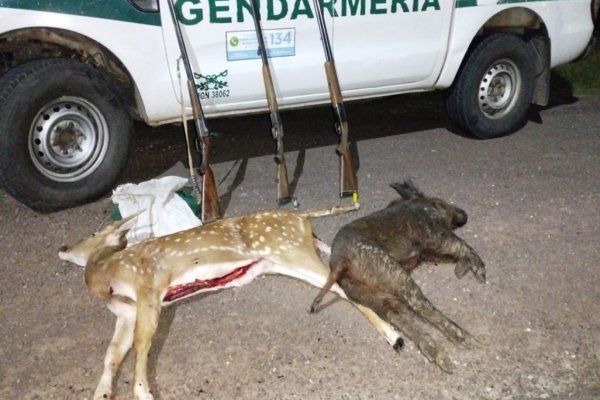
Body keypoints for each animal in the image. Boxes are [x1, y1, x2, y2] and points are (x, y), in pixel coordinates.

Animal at [57, 206, 404, 400]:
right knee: (340, 285)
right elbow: (112, 354)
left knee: (344, 288)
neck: (106, 273)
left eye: (92, 233)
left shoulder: (149, 287)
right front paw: (101, 393)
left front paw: (143, 391)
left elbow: (143, 343)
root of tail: (302, 218)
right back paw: (393, 334)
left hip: (289, 249)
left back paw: (396, 337)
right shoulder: (125, 312)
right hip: (282, 259)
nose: (62, 246)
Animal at [312, 181, 486, 372]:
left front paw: (460, 271)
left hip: (367, 294)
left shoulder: (430, 252)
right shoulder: (436, 235)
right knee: (419, 304)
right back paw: (470, 342)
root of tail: (340, 262)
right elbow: (463, 246)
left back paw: (441, 359)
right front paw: (479, 273)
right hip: (390, 269)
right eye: (443, 202)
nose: (464, 215)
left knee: (400, 317)